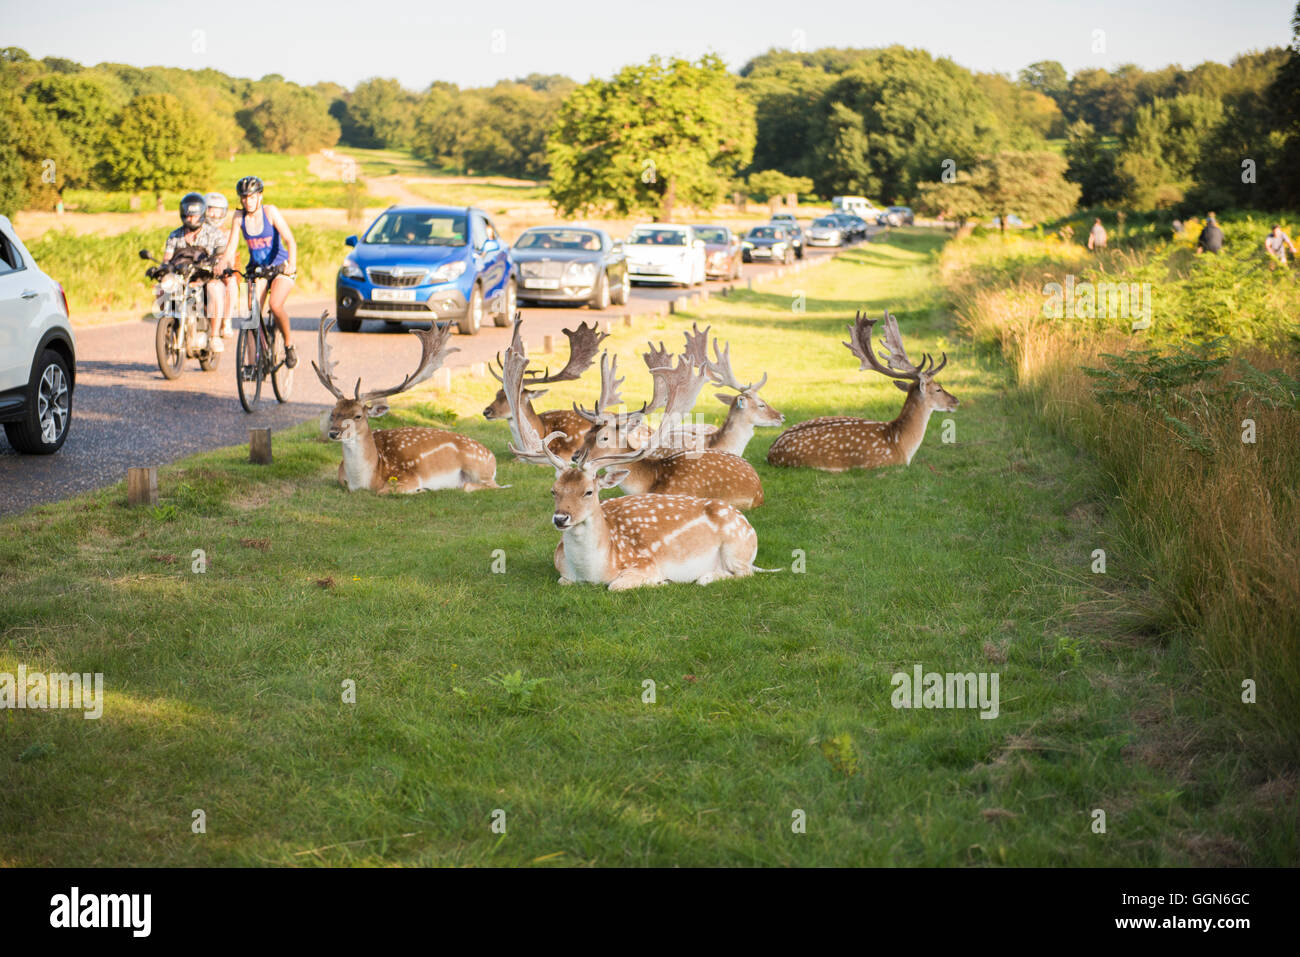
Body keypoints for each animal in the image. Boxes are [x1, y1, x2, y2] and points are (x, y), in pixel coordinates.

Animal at [309, 315, 501, 494]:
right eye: (333, 413)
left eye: (358, 415)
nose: (333, 432)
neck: (365, 481)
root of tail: (492, 457)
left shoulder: (407, 477)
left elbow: (384, 491)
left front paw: (422, 489)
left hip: (478, 466)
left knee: (488, 485)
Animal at [496, 325, 759, 587]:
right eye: (554, 490)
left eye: (589, 492)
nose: (561, 518)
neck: (592, 573)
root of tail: (747, 523)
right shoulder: (563, 574)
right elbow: (564, 581)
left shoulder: (646, 563)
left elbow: (616, 585)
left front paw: (661, 582)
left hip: (737, 545)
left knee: (744, 571)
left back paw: (705, 575)